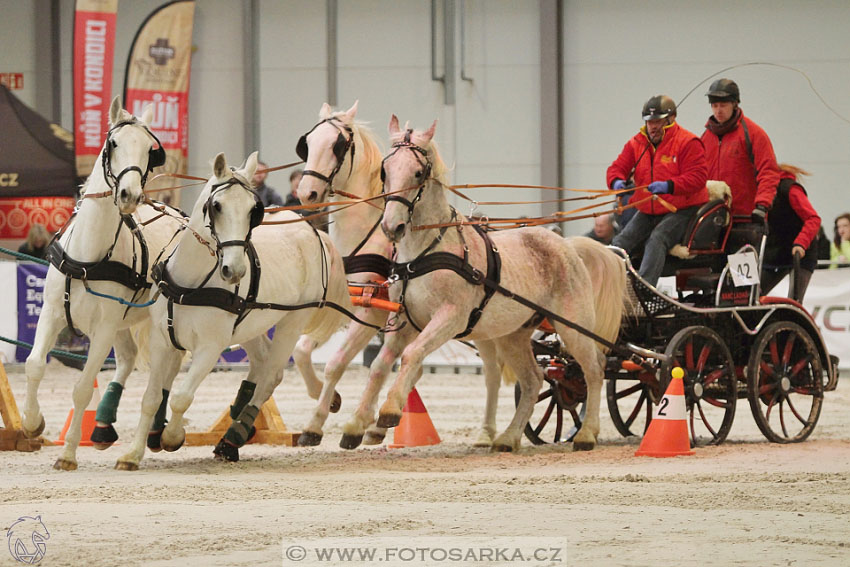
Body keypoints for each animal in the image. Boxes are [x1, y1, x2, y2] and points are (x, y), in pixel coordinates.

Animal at [22, 96, 184, 470]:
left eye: (150, 150)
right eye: (113, 144)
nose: (129, 195)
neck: (87, 258)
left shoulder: (103, 328)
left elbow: (82, 388)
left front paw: (67, 453)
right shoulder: (52, 313)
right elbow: (34, 364)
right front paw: (32, 422)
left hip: (154, 324)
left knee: (164, 375)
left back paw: (151, 438)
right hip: (123, 325)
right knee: (126, 361)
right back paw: (103, 427)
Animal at [114, 151, 350, 470]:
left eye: (253, 209)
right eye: (216, 206)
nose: (235, 271)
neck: (190, 284)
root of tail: (310, 229)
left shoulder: (210, 348)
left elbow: (181, 397)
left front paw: (172, 437)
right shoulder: (162, 341)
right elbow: (151, 398)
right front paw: (132, 454)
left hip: (292, 321)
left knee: (270, 376)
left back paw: (232, 438)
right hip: (252, 324)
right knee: (261, 364)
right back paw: (235, 432)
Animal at [292, 101, 400, 448]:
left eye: (337, 145)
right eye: (307, 144)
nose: (307, 193)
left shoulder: (370, 313)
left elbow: (337, 363)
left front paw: (315, 424)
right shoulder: (341, 304)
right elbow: (301, 351)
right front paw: (330, 400)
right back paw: (377, 424)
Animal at [376, 118, 624, 452]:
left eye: (418, 172)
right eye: (385, 170)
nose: (392, 226)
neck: (427, 250)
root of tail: (566, 243)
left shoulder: (450, 317)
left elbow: (411, 355)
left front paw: (389, 410)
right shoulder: (406, 319)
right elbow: (390, 361)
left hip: (574, 325)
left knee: (594, 369)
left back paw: (586, 434)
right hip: (513, 335)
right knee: (533, 380)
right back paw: (508, 437)